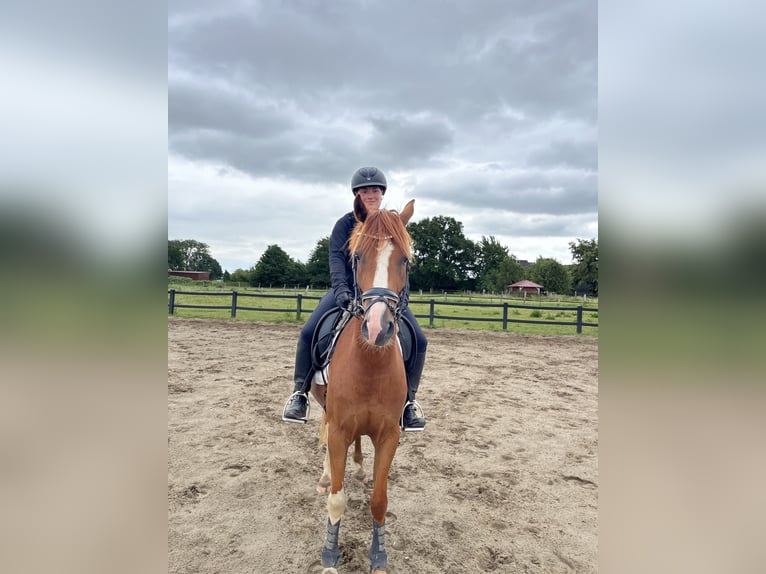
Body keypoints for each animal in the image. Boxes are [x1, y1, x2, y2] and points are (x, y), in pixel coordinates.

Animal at [308, 199, 415, 574]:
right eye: (357, 257)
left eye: (405, 259)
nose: (377, 328)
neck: (369, 366)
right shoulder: (340, 428)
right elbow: (337, 500)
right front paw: (329, 558)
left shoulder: (389, 435)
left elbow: (379, 501)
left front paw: (379, 558)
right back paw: (326, 476)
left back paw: (357, 468)